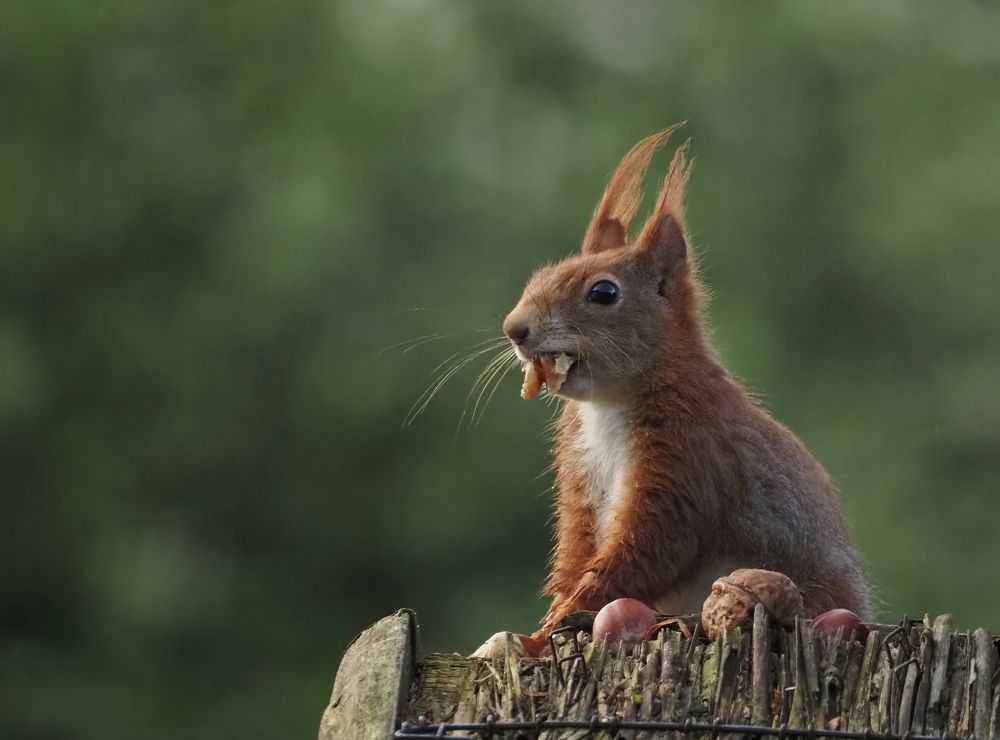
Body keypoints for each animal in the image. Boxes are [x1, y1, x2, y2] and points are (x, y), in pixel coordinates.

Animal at [472, 125, 872, 660]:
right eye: (538, 278)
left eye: (603, 293)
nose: (515, 329)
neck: (610, 404)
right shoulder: (580, 474)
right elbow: (578, 548)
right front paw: (535, 628)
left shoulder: (687, 457)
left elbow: (649, 546)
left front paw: (551, 628)